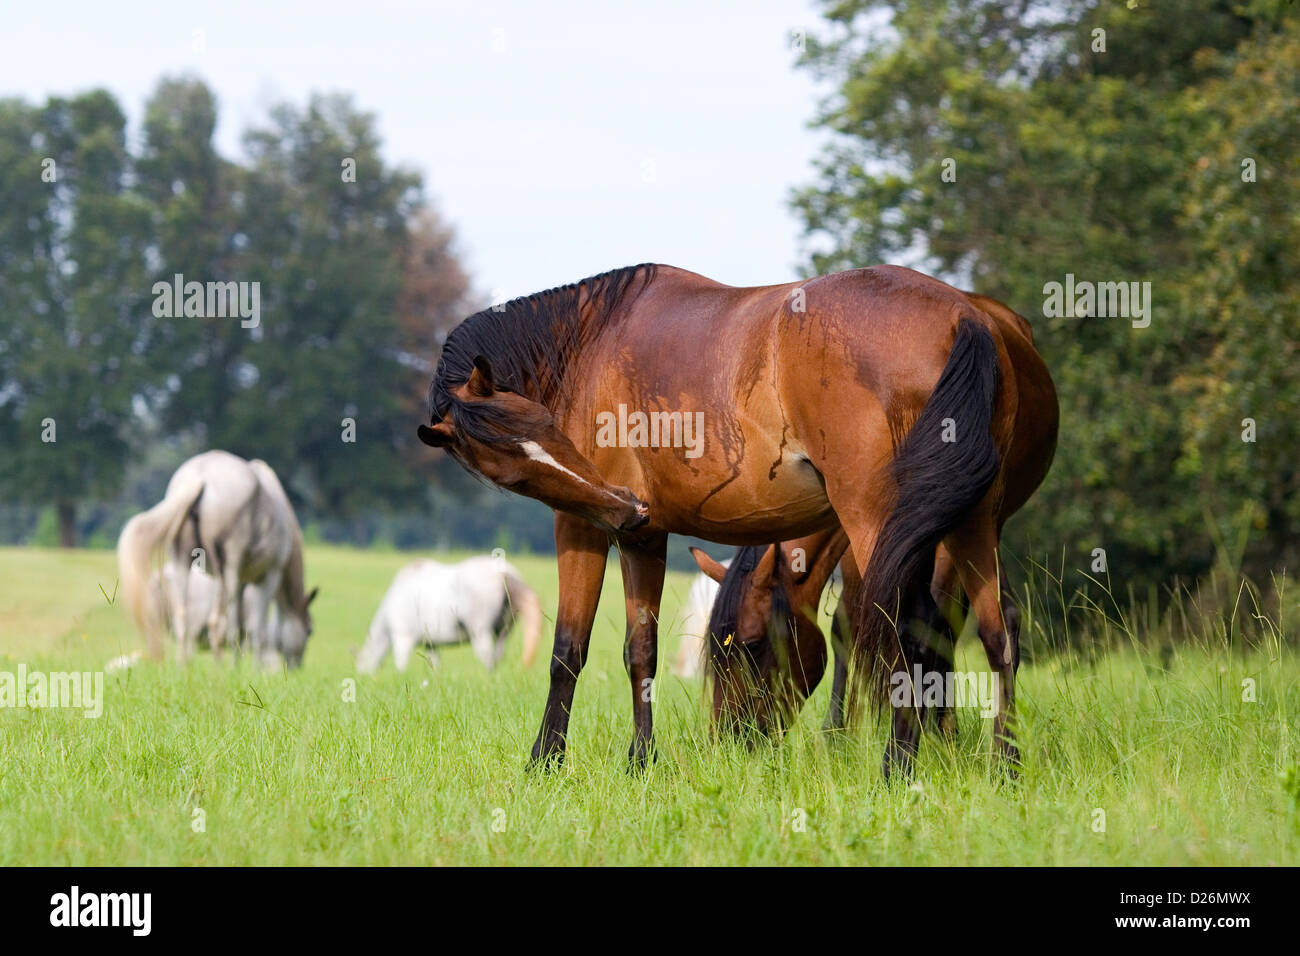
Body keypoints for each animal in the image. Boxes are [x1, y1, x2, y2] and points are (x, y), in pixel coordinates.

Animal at [118, 452, 318, 671]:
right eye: (309, 631)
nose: (296, 667)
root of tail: (199, 476)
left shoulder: (242, 582)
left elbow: (239, 630)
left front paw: (237, 668)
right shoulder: (269, 575)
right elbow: (258, 631)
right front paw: (254, 671)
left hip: (182, 559)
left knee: (183, 618)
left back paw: (183, 668)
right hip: (226, 566)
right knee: (217, 623)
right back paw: (219, 669)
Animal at [356, 556, 543, 676]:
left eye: (362, 663)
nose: (363, 676)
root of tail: (506, 573)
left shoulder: (402, 636)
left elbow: (400, 663)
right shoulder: (431, 644)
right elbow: (435, 664)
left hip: (480, 629)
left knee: (487, 655)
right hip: (505, 629)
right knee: (498, 655)